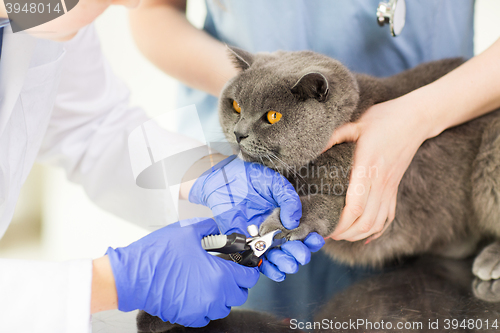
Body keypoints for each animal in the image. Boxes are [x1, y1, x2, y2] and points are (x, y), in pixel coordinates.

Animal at [220, 47, 500, 280]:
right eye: (236, 106)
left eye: (273, 116)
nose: (239, 133)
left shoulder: (356, 196)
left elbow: (315, 203)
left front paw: (278, 224)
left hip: (491, 154)